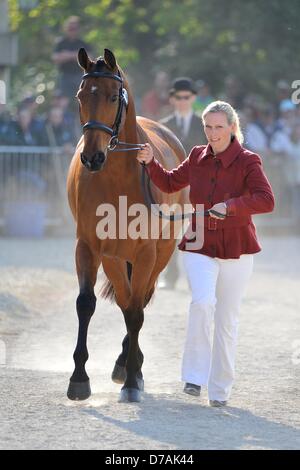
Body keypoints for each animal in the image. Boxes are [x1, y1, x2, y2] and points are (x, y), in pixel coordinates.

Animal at [67, 47, 188, 402]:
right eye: (81, 95)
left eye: (112, 96)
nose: (92, 157)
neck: (117, 178)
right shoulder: (90, 247)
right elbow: (86, 304)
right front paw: (78, 379)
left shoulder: (146, 251)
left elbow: (135, 310)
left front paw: (133, 380)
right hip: (115, 257)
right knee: (125, 298)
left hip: (160, 253)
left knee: (140, 299)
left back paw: (130, 365)